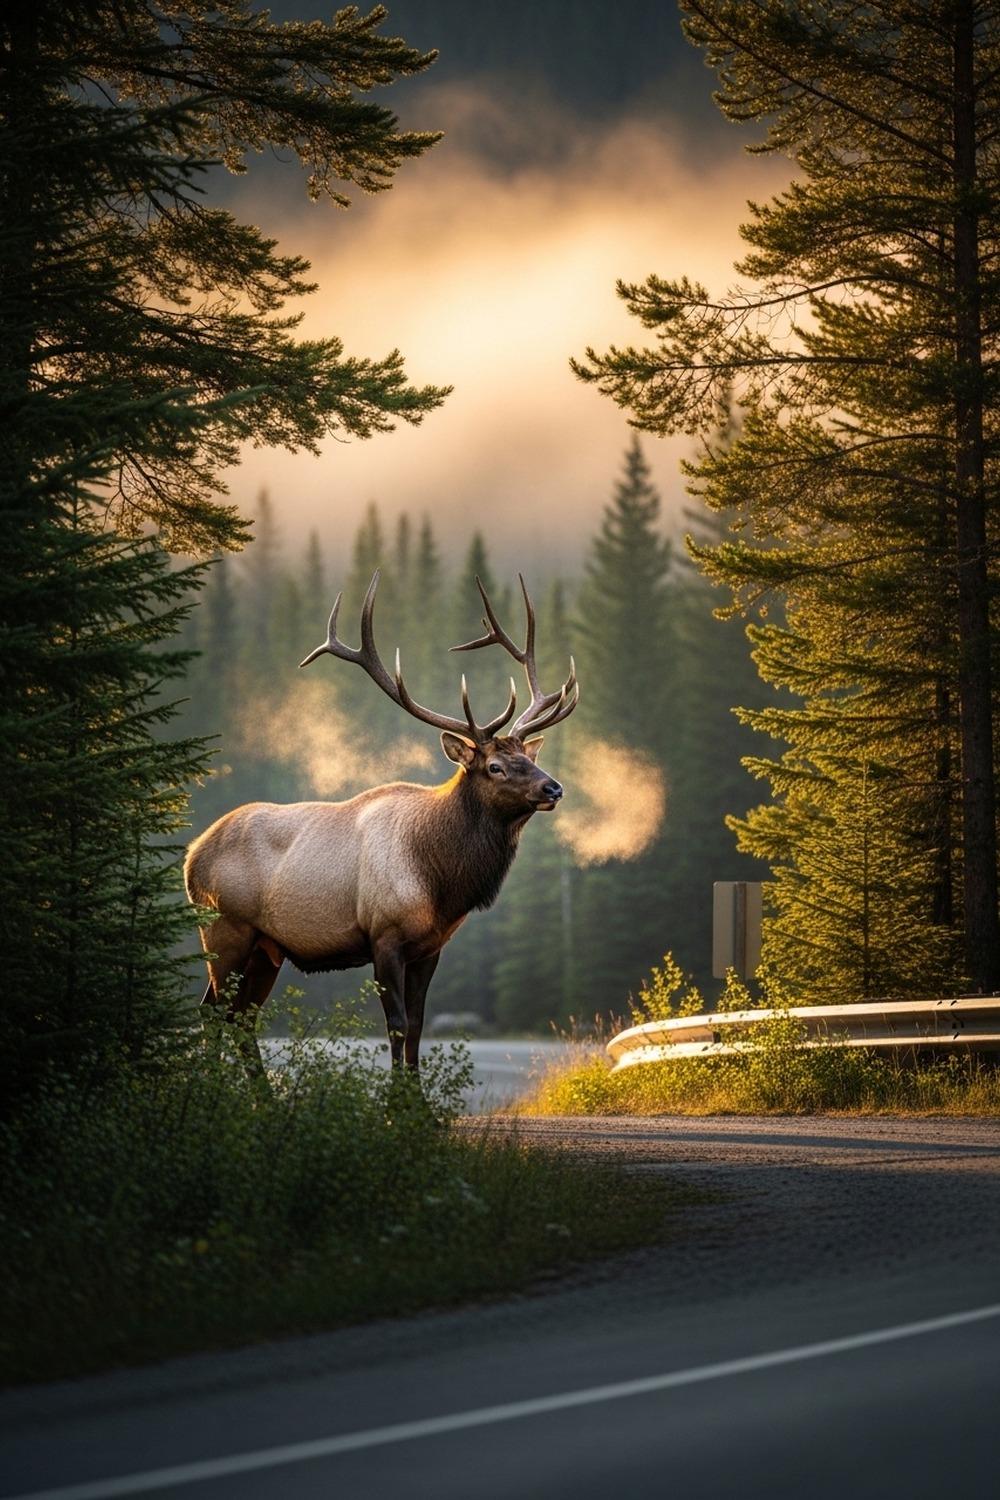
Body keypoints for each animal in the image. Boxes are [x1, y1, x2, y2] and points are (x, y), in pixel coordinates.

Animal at [184, 570, 578, 1079]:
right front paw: (396, 1096)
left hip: (264, 949)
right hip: (223, 929)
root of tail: (191, 855)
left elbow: (418, 1027)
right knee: (211, 1012)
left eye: (529, 758)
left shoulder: (430, 947)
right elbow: (397, 1024)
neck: (440, 882)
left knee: (240, 1017)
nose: (554, 788)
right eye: (494, 766)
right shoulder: (383, 934)